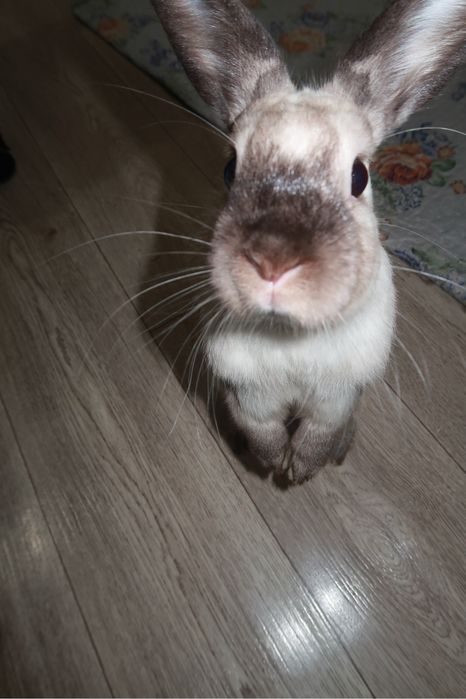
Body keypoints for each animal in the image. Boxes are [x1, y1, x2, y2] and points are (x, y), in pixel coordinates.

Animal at [150, 0, 466, 484]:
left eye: (360, 176)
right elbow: (261, 428)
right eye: (230, 170)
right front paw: (271, 463)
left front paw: (299, 470)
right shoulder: (249, 395)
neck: (290, 336)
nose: (273, 262)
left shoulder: (336, 399)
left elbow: (320, 432)